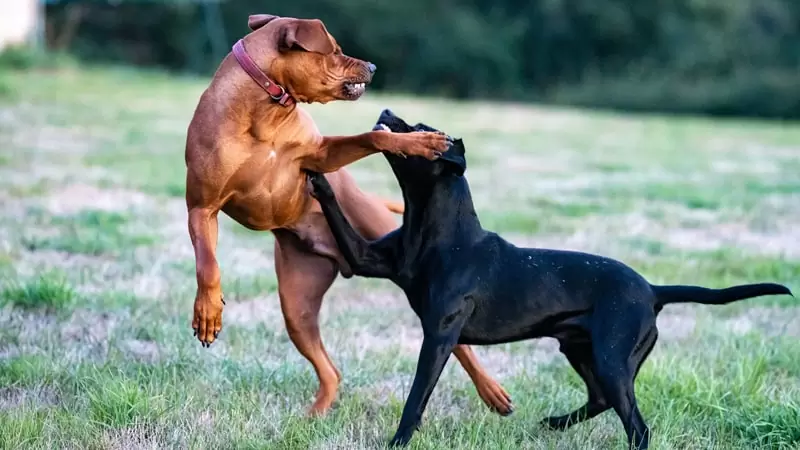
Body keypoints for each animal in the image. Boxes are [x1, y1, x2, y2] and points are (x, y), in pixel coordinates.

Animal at [184, 13, 512, 414]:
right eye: (336, 50)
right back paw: (315, 415)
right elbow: (208, 264)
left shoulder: (321, 154)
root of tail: (341, 260)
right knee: (331, 370)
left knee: (461, 345)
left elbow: (374, 137)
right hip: (297, 306)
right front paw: (208, 312)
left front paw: (417, 142)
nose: (372, 66)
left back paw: (492, 392)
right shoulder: (201, 209)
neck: (265, 111)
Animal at [304, 110, 788, 450]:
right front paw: (316, 174)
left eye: (423, 129)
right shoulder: (366, 260)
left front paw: (398, 441)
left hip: (612, 359)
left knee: (636, 426)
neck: (436, 229)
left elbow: (417, 396)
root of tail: (653, 291)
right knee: (601, 401)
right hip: (580, 350)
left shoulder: (439, 334)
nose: (386, 109)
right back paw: (554, 423)